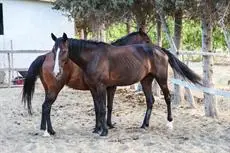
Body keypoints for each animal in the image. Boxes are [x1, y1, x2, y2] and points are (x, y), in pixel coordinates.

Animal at [21, 29, 151, 136]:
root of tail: (44, 56)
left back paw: (45, 129)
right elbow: (107, 106)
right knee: (46, 106)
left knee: (45, 107)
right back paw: (50, 131)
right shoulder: (109, 88)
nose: (152, 46)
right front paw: (107, 126)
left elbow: (99, 107)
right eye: (147, 40)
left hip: (48, 89)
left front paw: (99, 127)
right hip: (55, 89)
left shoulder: (97, 89)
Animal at [49, 32, 201, 136]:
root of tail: (159, 49)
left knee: (167, 98)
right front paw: (97, 129)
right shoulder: (94, 88)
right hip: (146, 80)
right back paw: (144, 125)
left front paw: (104, 130)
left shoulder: (102, 87)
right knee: (150, 100)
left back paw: (169, 123)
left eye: (64, 51)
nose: (56, 71)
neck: (93, 57)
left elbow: (103, 108)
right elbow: (98, 108)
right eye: (54, 50)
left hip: (161, 79)